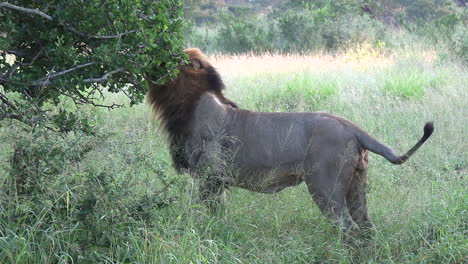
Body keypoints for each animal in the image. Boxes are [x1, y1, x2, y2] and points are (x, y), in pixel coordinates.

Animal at [144, 48, 436, 234]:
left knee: (349, 229)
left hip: (325, 188)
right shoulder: (216, 182)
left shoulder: (208, 178)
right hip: (356, 186)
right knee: (366, 227)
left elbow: (203, 215)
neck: (186, 102)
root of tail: (352, 127)